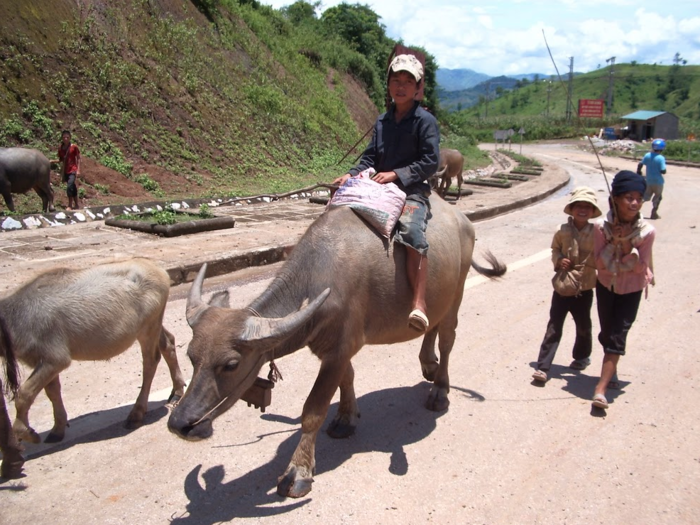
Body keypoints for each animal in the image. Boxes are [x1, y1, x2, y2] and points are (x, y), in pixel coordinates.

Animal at [0, 258, 186, 442]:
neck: (13, 318)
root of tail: (160, 271)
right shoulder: (42, 362)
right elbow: (52, 392)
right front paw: (57, 429)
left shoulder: (55, 359)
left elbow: (24, 395)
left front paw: (26, 432)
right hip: (154, 325)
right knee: (168, 344)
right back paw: (176, 391)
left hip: (147, 329)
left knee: (150, 362)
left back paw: (136, 414)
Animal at [170, 194, 508, 498]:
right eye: (191, 357)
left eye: (231, 364)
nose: (179, 424)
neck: (319, 277)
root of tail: (463, 219)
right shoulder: (334, 349)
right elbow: (348, 378)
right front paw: (346, 418)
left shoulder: (338, 349)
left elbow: (313, 410)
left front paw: (298, 473)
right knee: (431, 326)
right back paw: (428, 362)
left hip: (457, 292)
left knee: (448, 337)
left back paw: (439, 390)